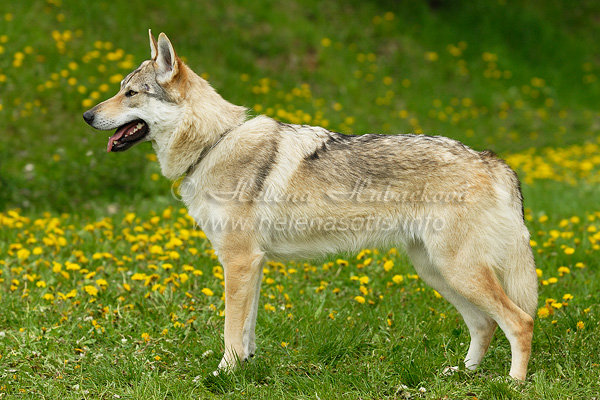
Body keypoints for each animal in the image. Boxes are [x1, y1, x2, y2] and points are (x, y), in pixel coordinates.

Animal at [82, 29, 536, 380]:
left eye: (130, 93)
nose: (86, 115)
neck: (214, 144)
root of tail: (490, 159)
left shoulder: (239, 262)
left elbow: (229, 331)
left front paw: (220, 377)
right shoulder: (253, 265)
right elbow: (246, 332)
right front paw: (245, 369)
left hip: (457, 271)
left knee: (520, 321)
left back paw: (512, 383)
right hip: (437, 272)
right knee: (484, 324)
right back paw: (462, 374)